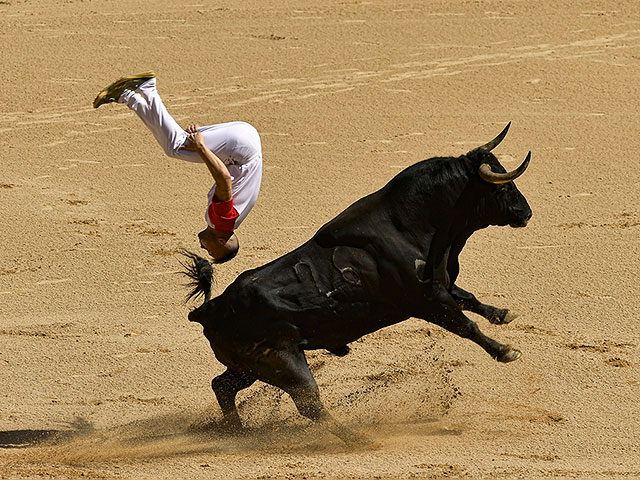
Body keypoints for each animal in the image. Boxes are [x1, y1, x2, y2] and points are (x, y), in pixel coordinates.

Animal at [182, 123, 532, 442]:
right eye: (501, 188)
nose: (526, 213)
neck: (412, 223)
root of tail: (209, 310)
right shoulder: (428, 300)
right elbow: (465, 325)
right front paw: (505, 351)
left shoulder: (442, 286)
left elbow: (470, 298)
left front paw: (503, 314)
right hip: (284, 363)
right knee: (308, 403)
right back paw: (358, 439)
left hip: (249, 367)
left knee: (222, 385)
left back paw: (237, 431)